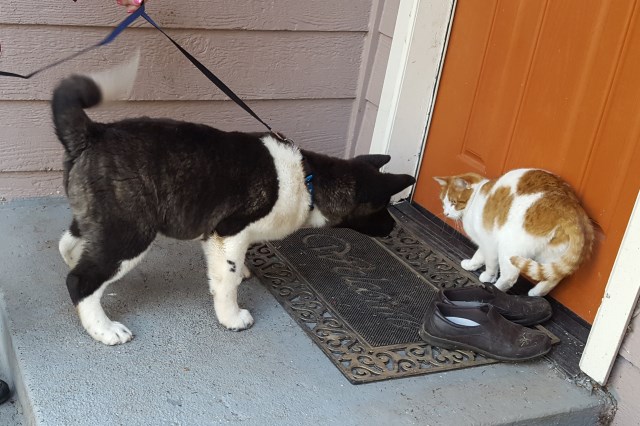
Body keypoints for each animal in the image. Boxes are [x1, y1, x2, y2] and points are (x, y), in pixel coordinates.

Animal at [51, 54, 416, 346]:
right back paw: (104, 329)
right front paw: (233, 317)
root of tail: (93, 133)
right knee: (80, 280)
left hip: (101, 220)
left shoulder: (218, 238)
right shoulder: (229, 233)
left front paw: (242, 275)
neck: (309, 179)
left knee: (69, 247)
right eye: (383, 207)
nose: (393, 229)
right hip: (131, 231)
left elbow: (230, 271)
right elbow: (226, 282)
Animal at [436, 169, 596, 296]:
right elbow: (479, 255)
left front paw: (487, 277)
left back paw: (496, 290)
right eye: (443, 202)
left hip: (509, 247)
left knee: (510, 276)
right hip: (551, 254)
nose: (446, 213)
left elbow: (490, 263)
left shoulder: (489, 241)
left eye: (453, 202)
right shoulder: (485, 241)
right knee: (553, 277)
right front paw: (471, 265)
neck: (475, 198)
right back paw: (536, 293)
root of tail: (569, 206)